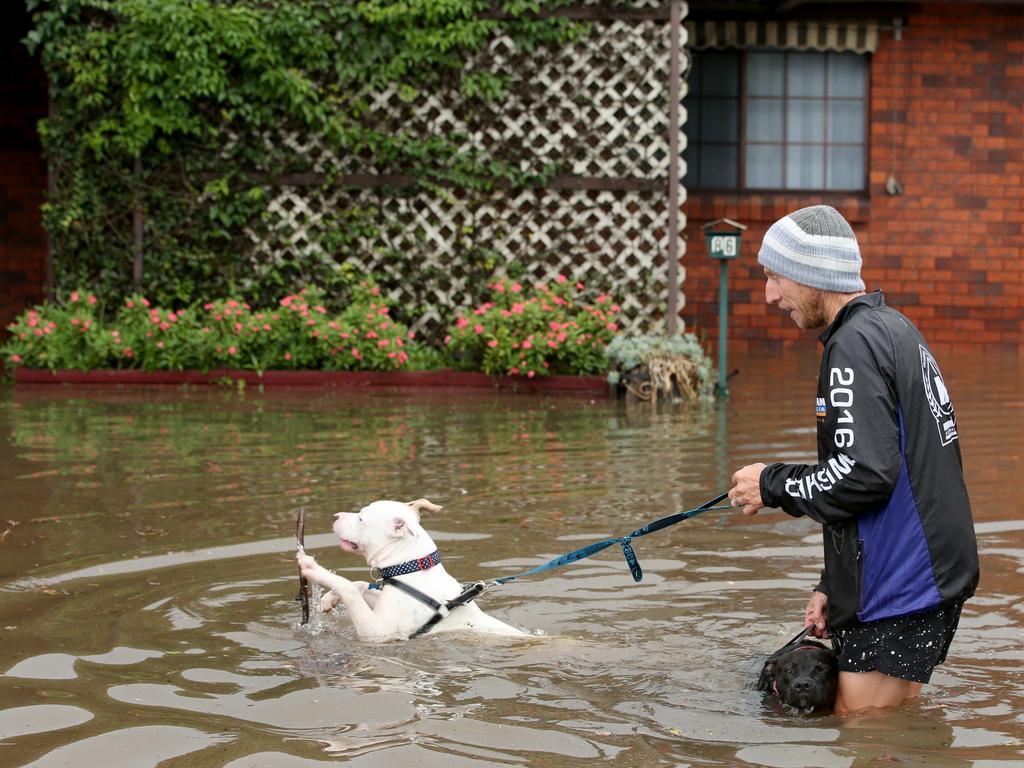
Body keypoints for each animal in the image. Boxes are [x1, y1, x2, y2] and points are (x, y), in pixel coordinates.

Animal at [294, 499, 520, 643]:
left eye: (361, 518)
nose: (335, 516)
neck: (412, 569)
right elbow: (359, 585)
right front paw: (328, 600)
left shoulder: (378, 632)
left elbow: (347, 587)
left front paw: (312, 567)